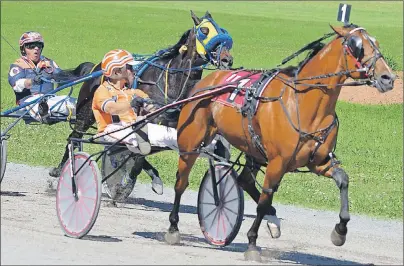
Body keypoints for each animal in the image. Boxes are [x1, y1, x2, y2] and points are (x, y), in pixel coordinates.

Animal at [49, 9, 234, 183]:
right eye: (204, 30)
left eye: (222, 30)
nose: (227, 59)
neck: (172, 81)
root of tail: (94, 68)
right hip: (86, 114)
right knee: (74, 138)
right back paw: (60, 171)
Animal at [163, 23, 394, 260]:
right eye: (357, 46)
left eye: (376, 43)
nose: (388, 77)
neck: (303, 102)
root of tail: (207, 81)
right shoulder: (277, 163)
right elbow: (264, 201)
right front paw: (252, 243)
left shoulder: (319, 162)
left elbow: (343, 181)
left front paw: (340, 231)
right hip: (190, 144)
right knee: (181, 183)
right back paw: (173, 227)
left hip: (252, 147)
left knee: (245, 180)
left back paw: (272, 220)